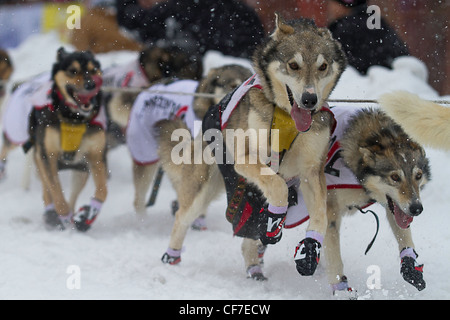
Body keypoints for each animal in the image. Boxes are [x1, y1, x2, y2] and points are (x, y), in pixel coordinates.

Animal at [25, 47, 108, 231]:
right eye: (73, 71)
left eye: (93, 69)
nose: (91, 84)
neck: (73, 117)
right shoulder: (47, 155)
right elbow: (55, 190)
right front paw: (60, 215)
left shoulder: (96, 155)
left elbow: (102, 190)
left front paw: (88, 214)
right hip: (40, 159)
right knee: (47, 189)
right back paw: (52, 214)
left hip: (81, 169)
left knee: (73, 196)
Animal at [158, 14, 348, 276]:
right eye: (293, 65)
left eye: (323, 66)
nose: (310, 100)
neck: (286, 117)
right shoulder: (247, 159)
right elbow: (278, 186)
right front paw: (274, 219)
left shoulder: (312, 171)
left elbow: (320, 213)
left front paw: (310, 247)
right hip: (203, 189)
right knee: (182, 218)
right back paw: (171, 257)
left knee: (248, 240)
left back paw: (255, 269)